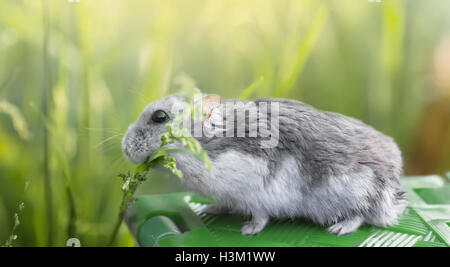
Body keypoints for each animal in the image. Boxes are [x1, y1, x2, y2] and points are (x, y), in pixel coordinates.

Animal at [122, 94, 408, 237]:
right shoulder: (231, 194)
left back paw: (338, 229)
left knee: (361, 214)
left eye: (160, 117)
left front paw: (247, 231)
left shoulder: (255, 191)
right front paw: (211, 208)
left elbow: (260, 215)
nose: (125, 149)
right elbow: (225, 203)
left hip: (354, 191)